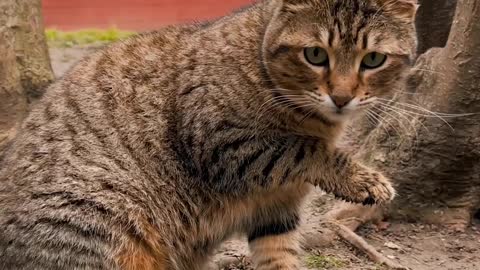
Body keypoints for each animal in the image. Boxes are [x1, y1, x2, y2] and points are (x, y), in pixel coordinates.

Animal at [0, 0, 416, 268]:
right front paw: (364, 179)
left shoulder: (276, 208)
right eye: (315, 54)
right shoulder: (221, 142)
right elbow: (302, 148)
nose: (342, 97)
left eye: (373, 60)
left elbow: (279, 256)